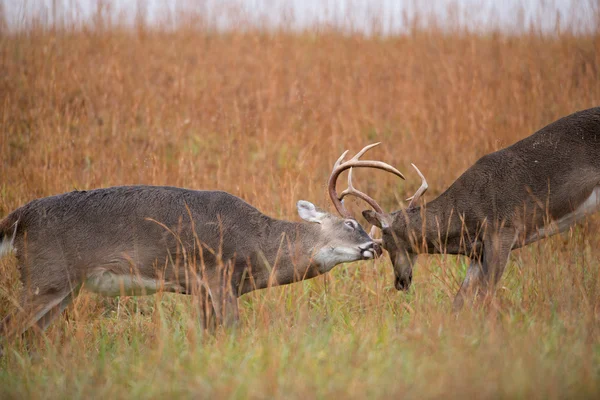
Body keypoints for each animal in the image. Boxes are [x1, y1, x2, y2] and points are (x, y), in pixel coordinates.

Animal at [0, 144, 406, 340]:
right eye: (351, 223)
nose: (375, 247)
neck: (259, 244)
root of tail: (19, 216)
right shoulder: (217, 273)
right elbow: (232, 330)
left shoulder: (201, 289)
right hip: (46, 276)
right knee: (10, 327)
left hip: (63, 287)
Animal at [346, 106, 600, 310]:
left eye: (388, 244)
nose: (400, 283)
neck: (463, 214)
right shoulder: (477, 253)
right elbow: (461, 300)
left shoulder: (503, 231)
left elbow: (485, 294)